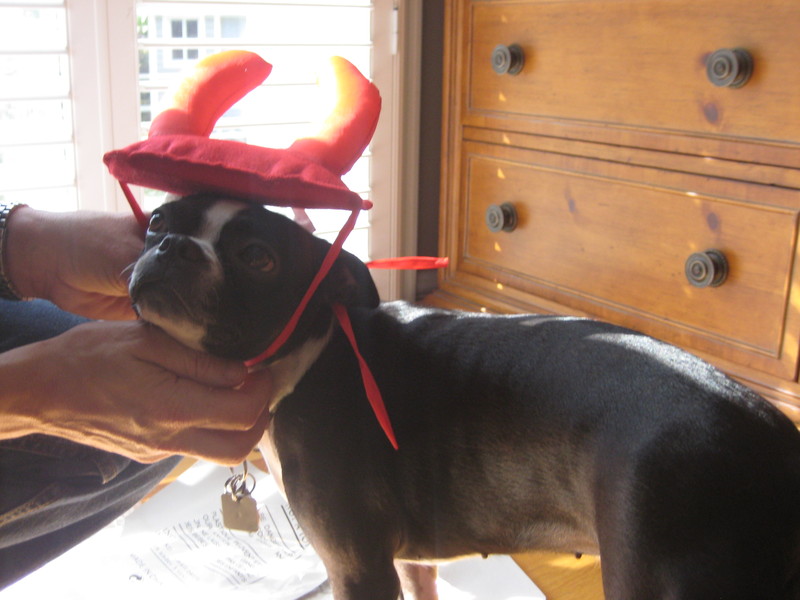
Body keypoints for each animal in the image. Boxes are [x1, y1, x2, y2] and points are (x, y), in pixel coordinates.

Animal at [129, 193, 800, 599]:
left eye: (256, 258)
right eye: (158, 221)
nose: (172, 246)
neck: (309, 352)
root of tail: (772, 440)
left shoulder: (357, 569)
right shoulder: (406, 559)